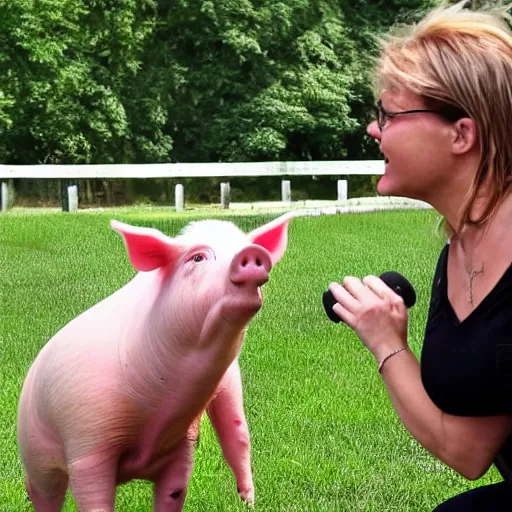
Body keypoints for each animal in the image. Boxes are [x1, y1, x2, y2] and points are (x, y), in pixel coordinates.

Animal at [17, 210, 292, 510]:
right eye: (197, 258)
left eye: (242, 244)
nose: (252, 252)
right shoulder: (87, 440)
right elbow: (94, 498)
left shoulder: (181, 447)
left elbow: (175, 491)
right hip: (35, 451)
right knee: (44, 491)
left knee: (238, 431)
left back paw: (248, 501)